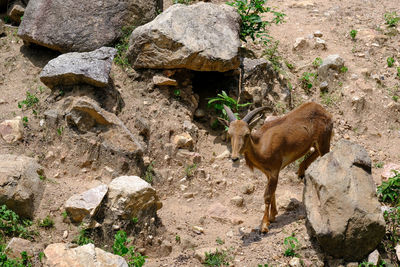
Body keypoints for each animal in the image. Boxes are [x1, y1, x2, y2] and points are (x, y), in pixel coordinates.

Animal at [223, 103, 332, 234]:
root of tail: (325, 112)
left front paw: (264, 226)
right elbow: (273, 192)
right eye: (230, 134)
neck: (260, 147)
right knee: (315, 152)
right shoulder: (268, 174)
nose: (234, 158)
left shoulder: (275, 171)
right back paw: (301, 171)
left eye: (247, 134)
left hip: (324, 141)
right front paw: (272, 216)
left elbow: (267, 196)